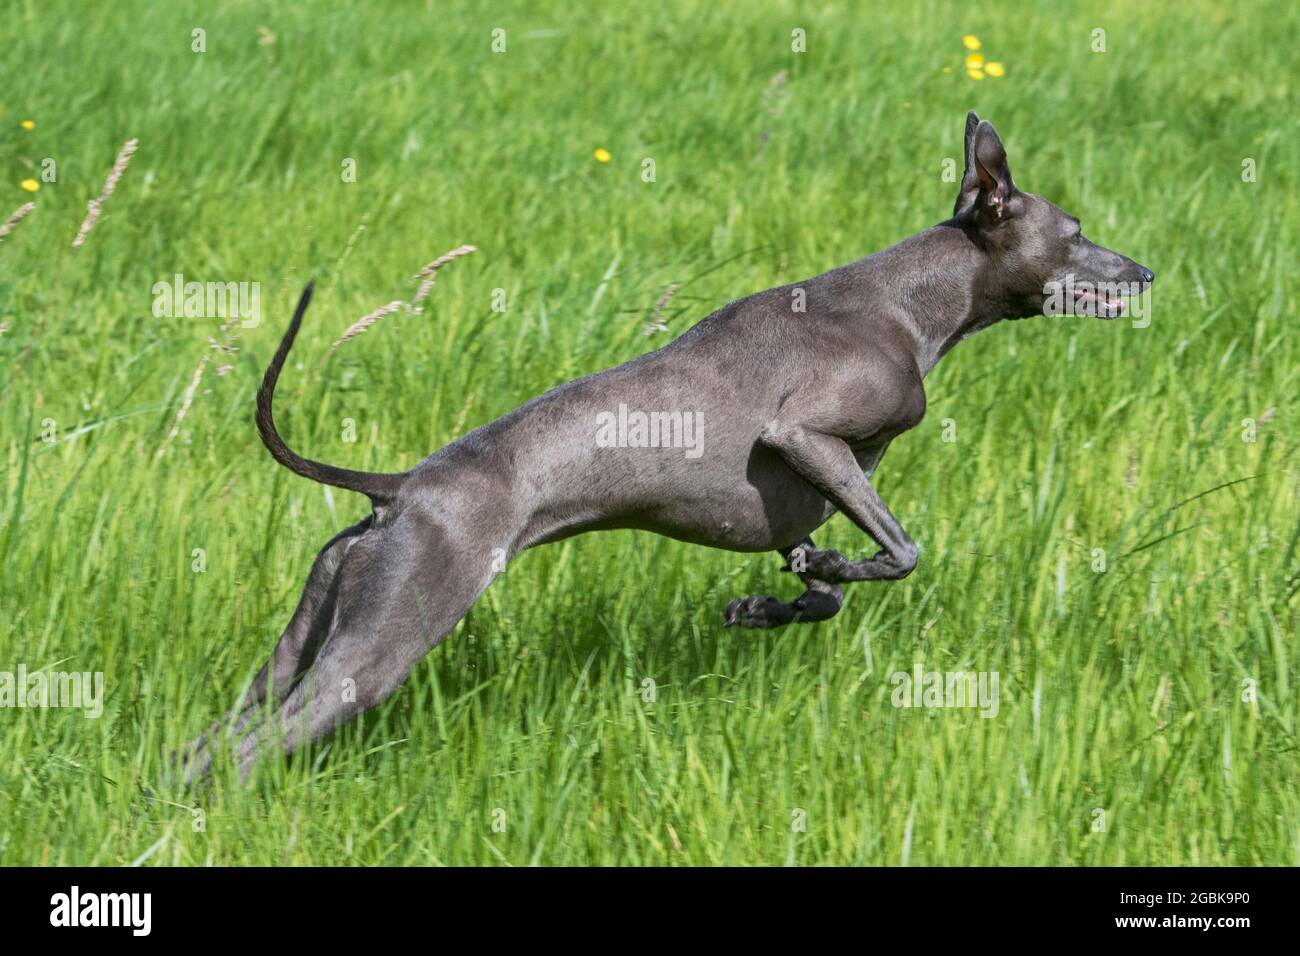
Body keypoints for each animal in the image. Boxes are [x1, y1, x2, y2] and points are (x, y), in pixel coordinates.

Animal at [180, 113, 1149, 785]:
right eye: (1076, 233)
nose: (1145, 271)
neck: (911, 299)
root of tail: (400, 491)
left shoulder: (804, 496)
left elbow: (823, 587)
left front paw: (770, 605)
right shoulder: (805, 436)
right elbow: (902, 552)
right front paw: (834, 572)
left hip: (311, 629)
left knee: (211, 737)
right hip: (387, 636)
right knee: (251, 748)